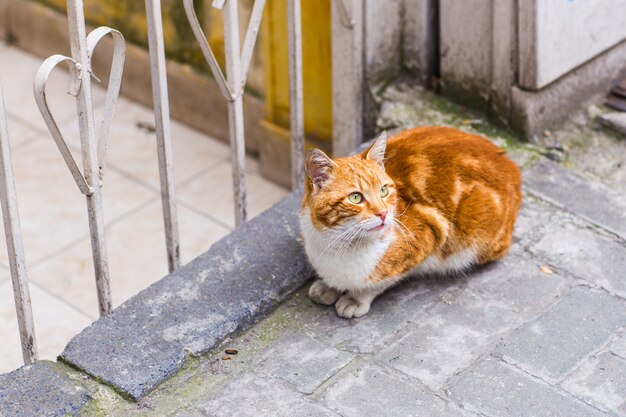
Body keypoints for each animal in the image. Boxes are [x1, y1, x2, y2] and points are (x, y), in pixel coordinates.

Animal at [300, 127, 520, 318]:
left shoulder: (427, 238)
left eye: (383, 190)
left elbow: (377, 283)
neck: (338, 244)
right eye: (356, 197)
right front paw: (328, 287)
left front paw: (355, 299)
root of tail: (511, 164)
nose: (383, 213)